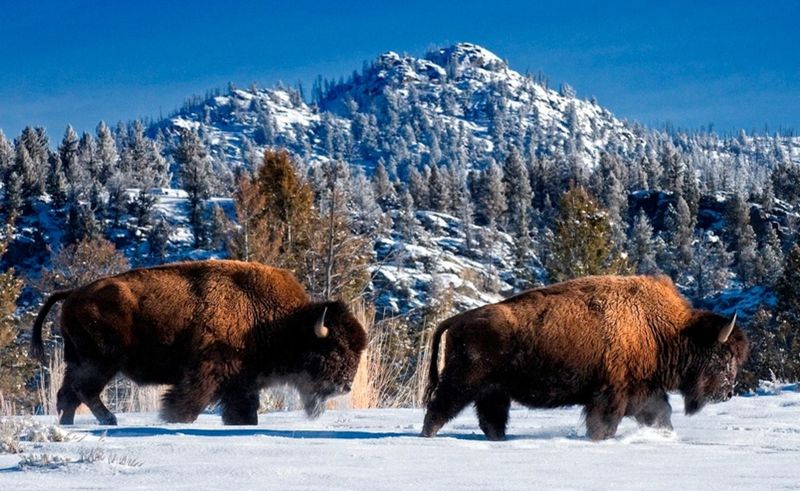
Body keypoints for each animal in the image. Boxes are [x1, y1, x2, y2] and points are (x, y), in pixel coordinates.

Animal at [29, 262, 368, 426]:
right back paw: (110, 421)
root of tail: (73, 293)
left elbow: (244, 412)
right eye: (335, 349)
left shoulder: (242, 382)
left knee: (68, 395)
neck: (279, 321)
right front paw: (171, 420)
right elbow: (188, 403)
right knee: (84, 391)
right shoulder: (207, 373)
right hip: (100, 362)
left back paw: (71, 424)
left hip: (77, 360)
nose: (345, 386)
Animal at [422, 276, 748, 442]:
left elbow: (661, 416)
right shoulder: (611, 395)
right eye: (724, 355)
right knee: (439, 409)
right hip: (463, 382)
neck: (661, 329)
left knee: (491, 419)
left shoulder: (644, 392)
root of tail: (459, 318)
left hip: (493, 391)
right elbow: (604, 424)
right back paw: (427, 437)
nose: (728, 392)